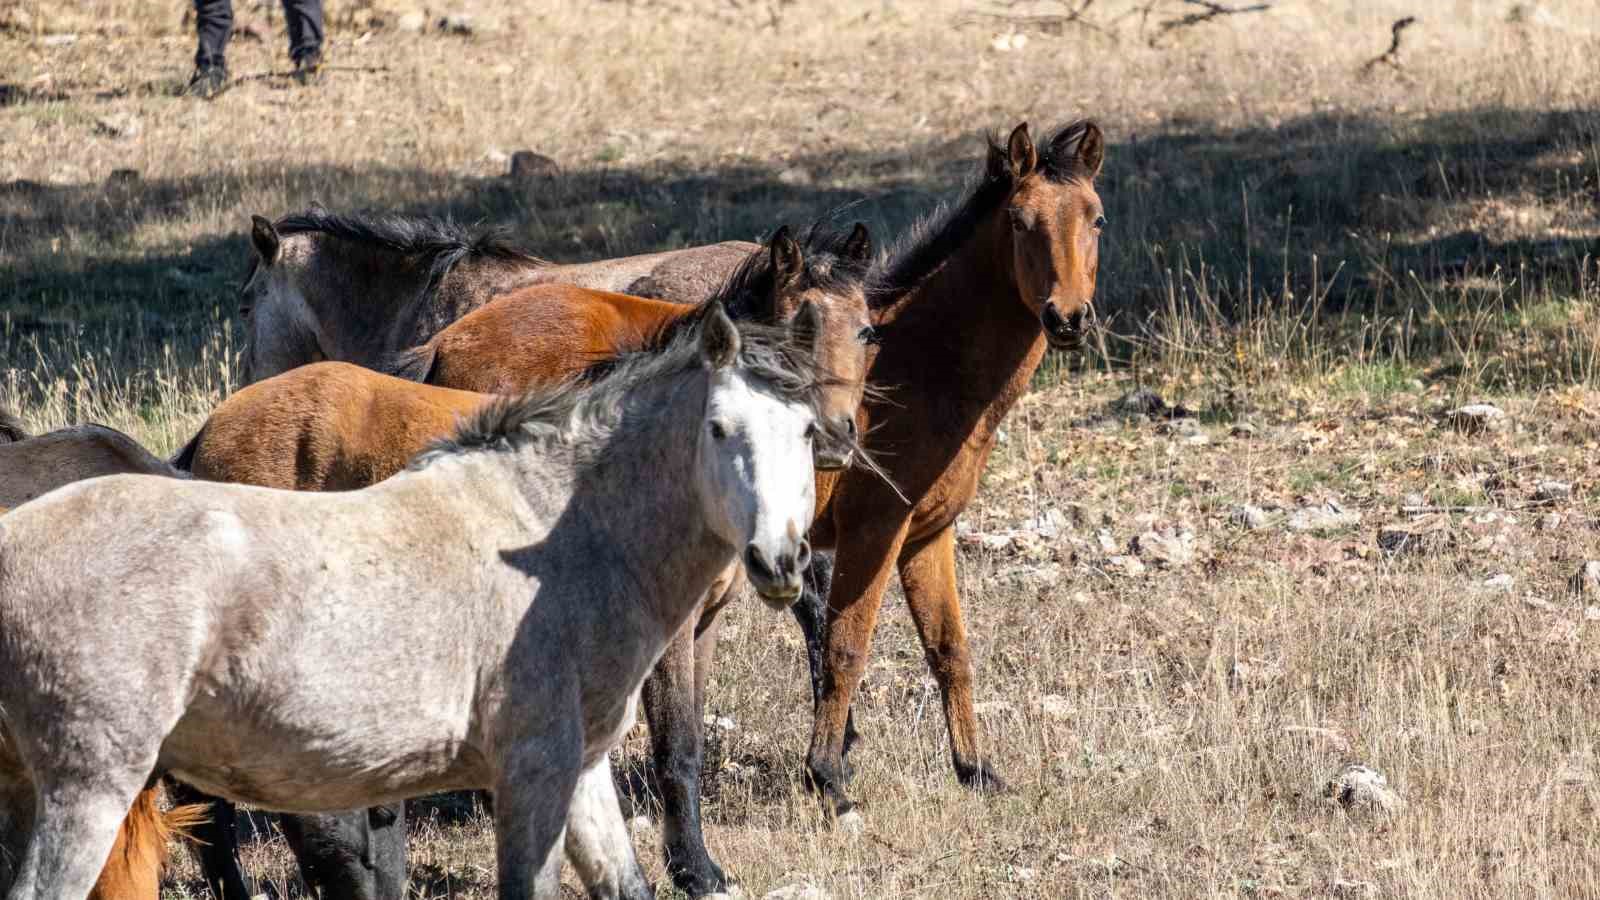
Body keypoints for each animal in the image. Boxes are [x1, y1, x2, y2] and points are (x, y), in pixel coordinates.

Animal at [0, 305, 851, 896]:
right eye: (720, 427)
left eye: (808, 432)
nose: (780, 558)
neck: (551, 535)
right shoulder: (532, 772)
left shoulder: (581, 772)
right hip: (90, 792)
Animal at [793, 119, 1107, 826]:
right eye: (1018, 221)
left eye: (1096, 218)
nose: (1067, 318)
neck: (909, 365)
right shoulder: (873, 531)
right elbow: (846, 648)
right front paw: (828, 779)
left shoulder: (927, 536)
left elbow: (950, 650)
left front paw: (977, 770)